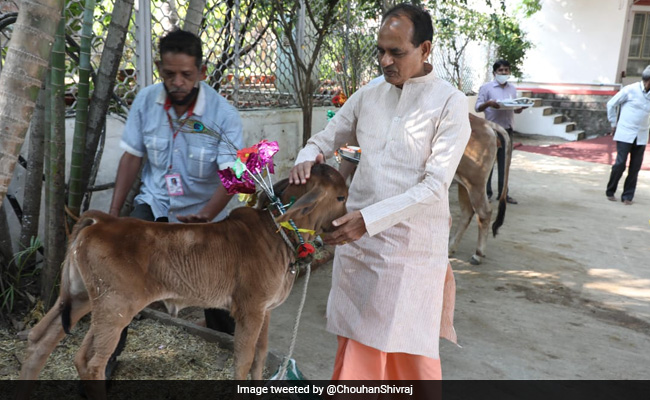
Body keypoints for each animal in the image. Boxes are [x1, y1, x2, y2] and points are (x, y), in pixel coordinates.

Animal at [17, 164, 348, 393]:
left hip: (82, 297)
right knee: (90, 362)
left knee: (39, 340)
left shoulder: (265, 311)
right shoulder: (250, 311)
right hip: (115, 307)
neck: (276, 232)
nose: (344, 222)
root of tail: (102, 220)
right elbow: (243, 361)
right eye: (341, 196)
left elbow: (260, 356)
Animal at [448, 113, 511, 265]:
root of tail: (485, 123)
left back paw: (478, 254)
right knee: (467, 212)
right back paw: (450, 248)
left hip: (474, 183)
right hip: (464, 183)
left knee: (484, 213)